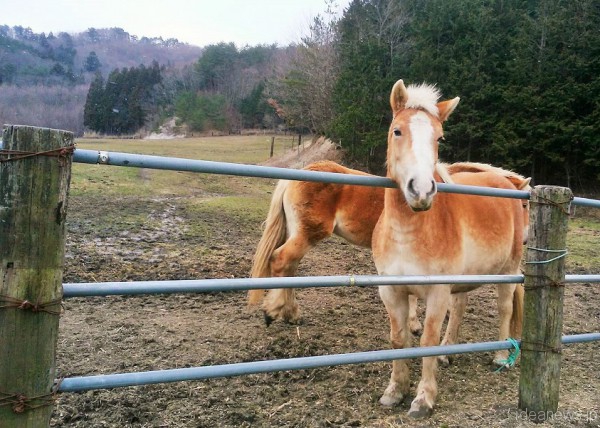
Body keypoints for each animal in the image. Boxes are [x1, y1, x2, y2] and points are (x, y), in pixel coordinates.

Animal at [370, 80, 524, 418]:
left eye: (439, 138)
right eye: (397, 131)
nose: (421, 190)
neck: (407, 233)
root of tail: (508, 184)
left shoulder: (437, 292)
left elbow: (426, 339)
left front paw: (423, 398)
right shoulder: (391, 291)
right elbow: (398, 339)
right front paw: (394, 391)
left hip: (508, 271)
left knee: (505, 308)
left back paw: (500, 356)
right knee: (461, 308)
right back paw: (446, 352)